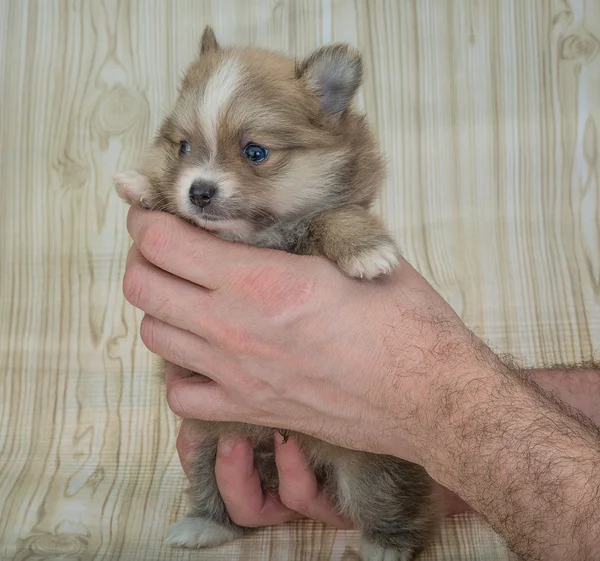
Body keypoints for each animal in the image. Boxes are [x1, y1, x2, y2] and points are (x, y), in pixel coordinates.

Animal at [115, 28, 440, 560]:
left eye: (255, 152)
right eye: (183, 147)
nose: (199, 191)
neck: (252, 237)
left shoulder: (332, 211)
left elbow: (333, 215)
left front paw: (367, 251)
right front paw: (141, 184)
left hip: (372, 466)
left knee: (390, 504)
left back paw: (385, 546)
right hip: (209, 442)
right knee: (209, 485)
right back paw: (205, 525)